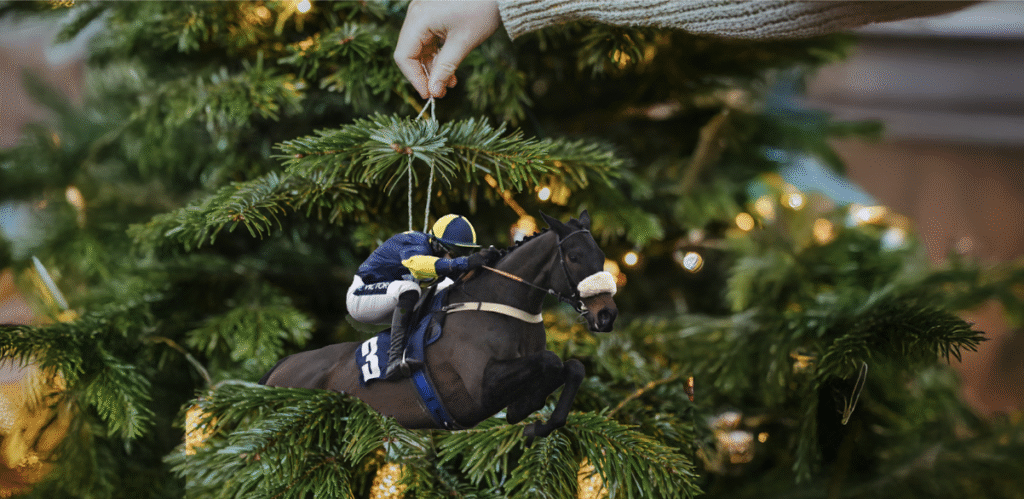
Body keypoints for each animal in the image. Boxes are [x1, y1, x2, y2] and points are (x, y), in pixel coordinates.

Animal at [260, 210, 618, 438]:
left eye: (601, 255)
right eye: (574, 257)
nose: (607, 314)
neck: (500, 305)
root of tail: (280, 367)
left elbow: (573, 368)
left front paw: (537, 421)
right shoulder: (479, 387)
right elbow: (550, 360)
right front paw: (524, 409)